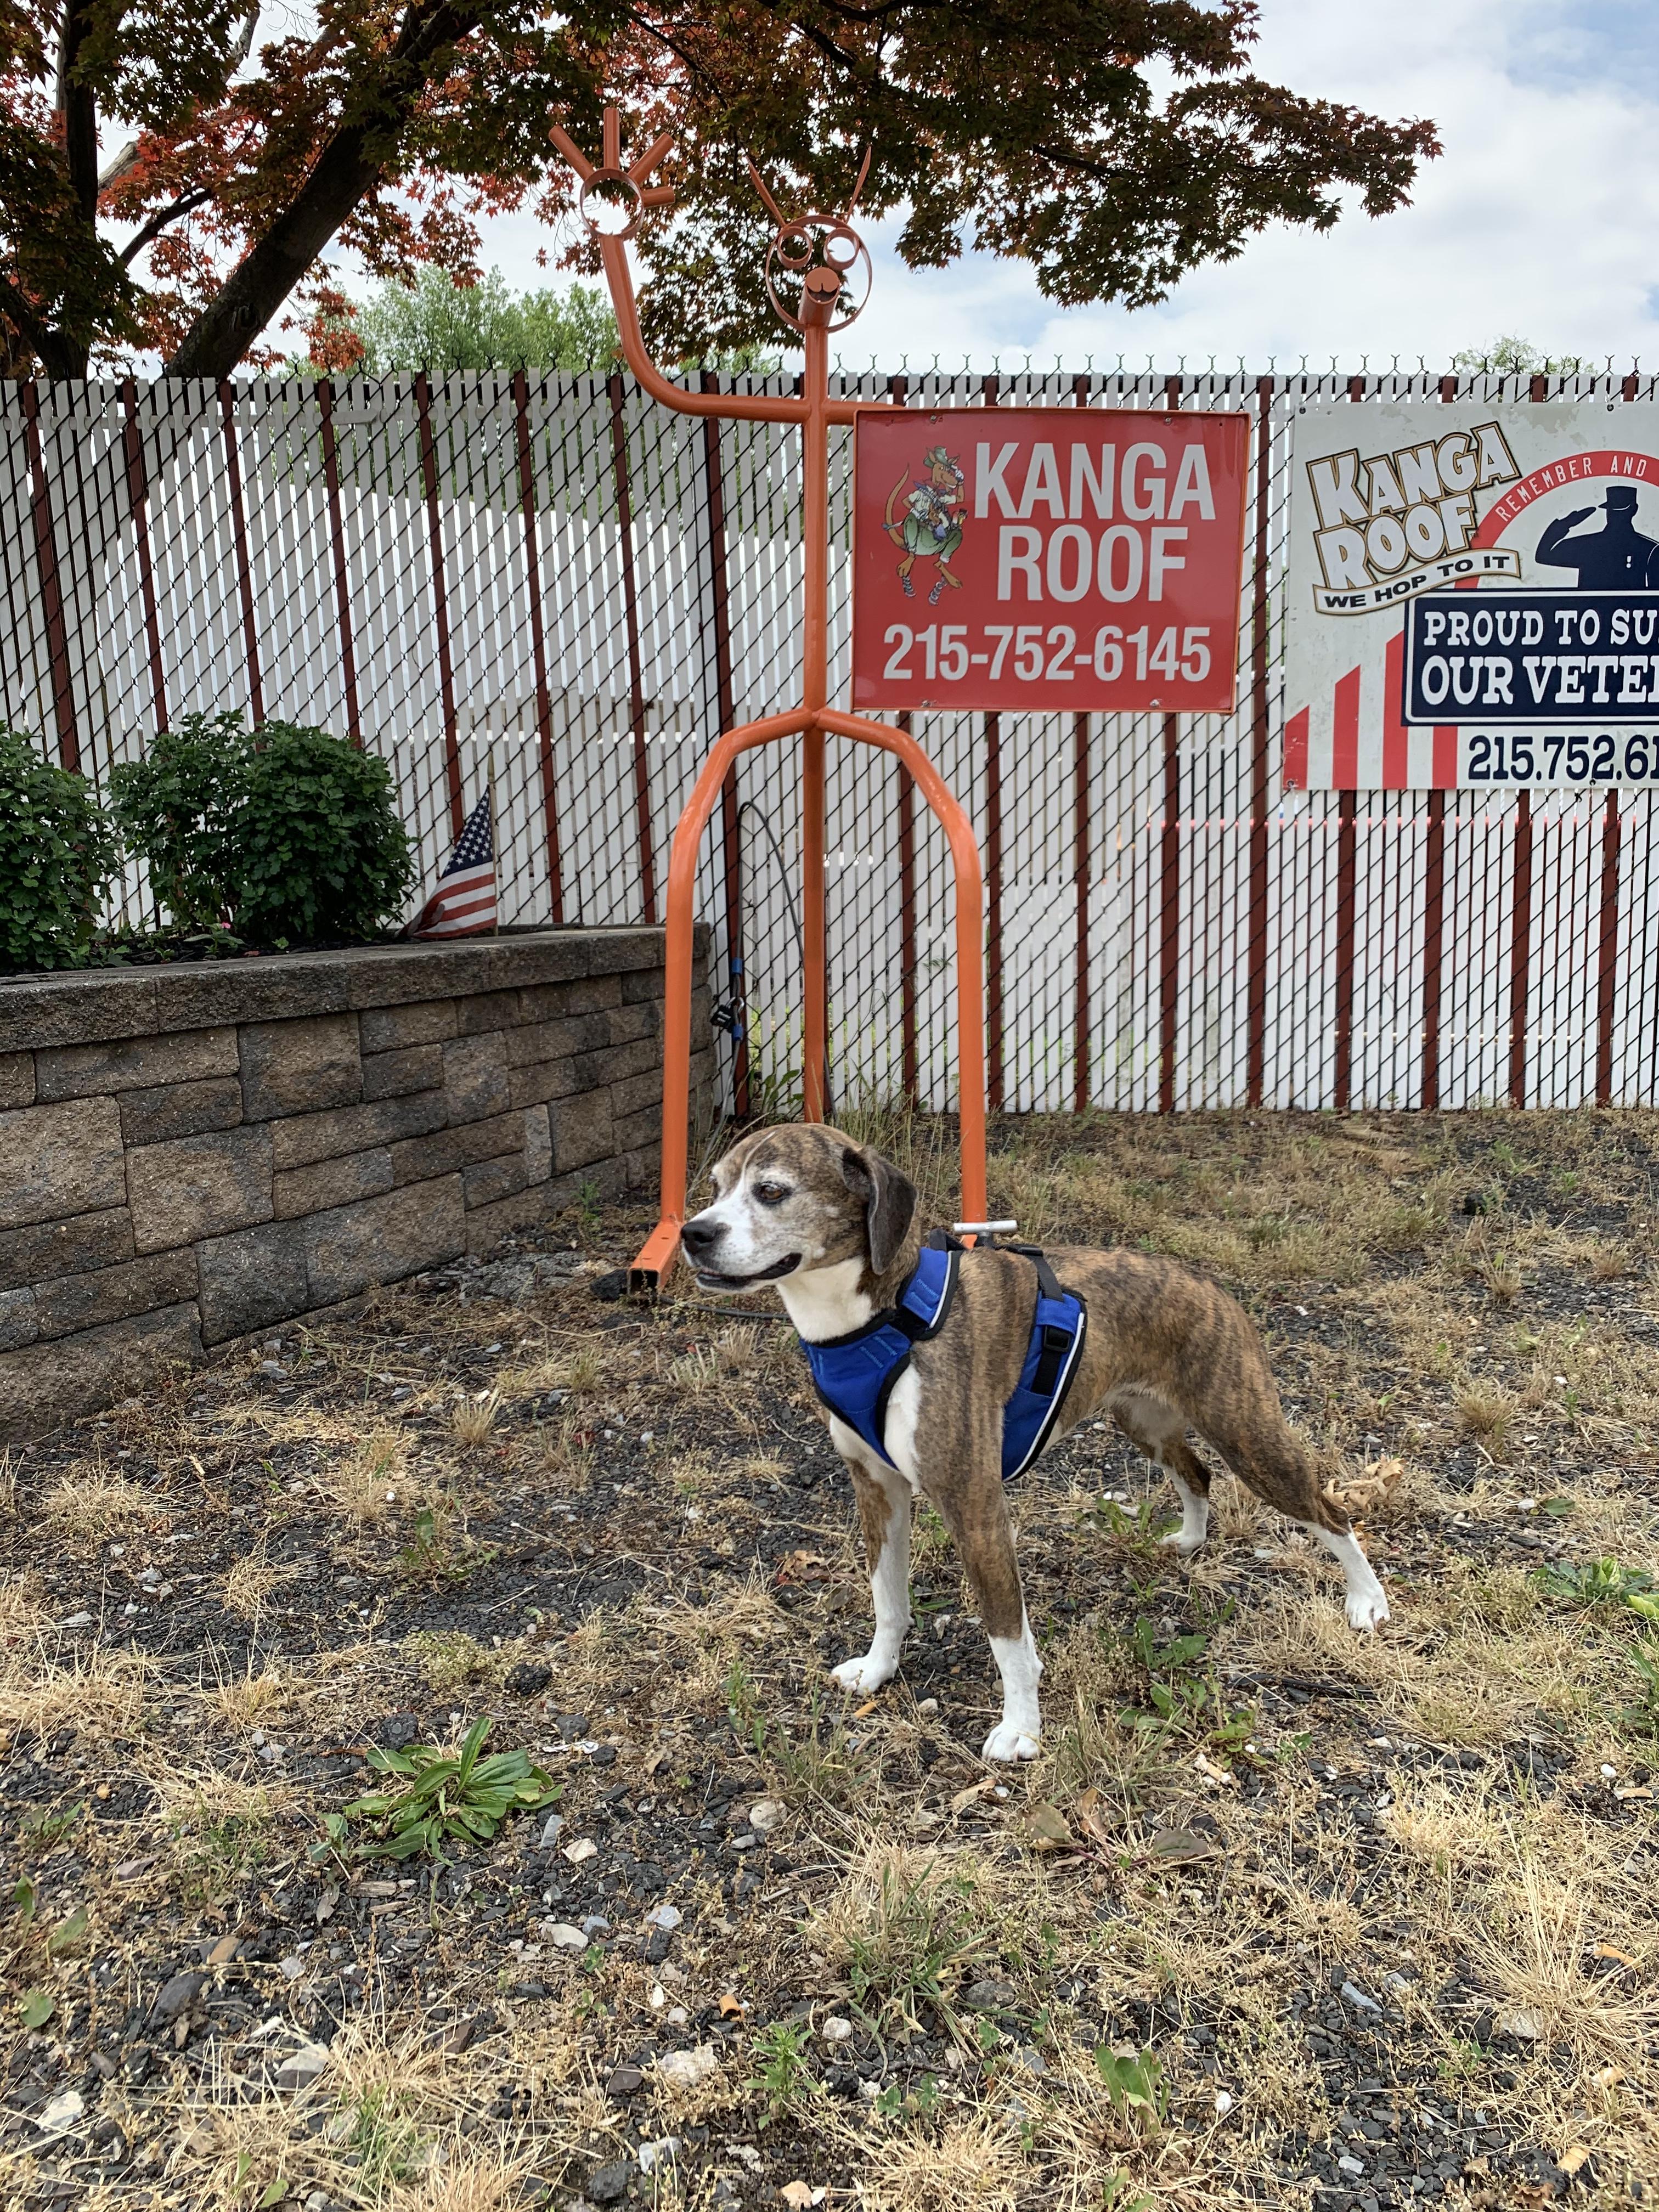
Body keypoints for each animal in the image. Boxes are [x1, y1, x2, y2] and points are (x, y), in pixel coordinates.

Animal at [676, 1124, 1389, 1760]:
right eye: (715, 1188)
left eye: (772, 1191)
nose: (693, 1233)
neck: (883, 1316)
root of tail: (1210, 1284)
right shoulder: (876, 1489)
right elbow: (887, 1596)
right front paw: (879, 1670)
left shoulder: (975, 1507)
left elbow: (1006, 1635)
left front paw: (1021, 1728)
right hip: (1145, 1423)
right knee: (1197, 1474)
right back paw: (1189, 1540)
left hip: (1248, 1435)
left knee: (1330, 1513)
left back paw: (1367, 1601)